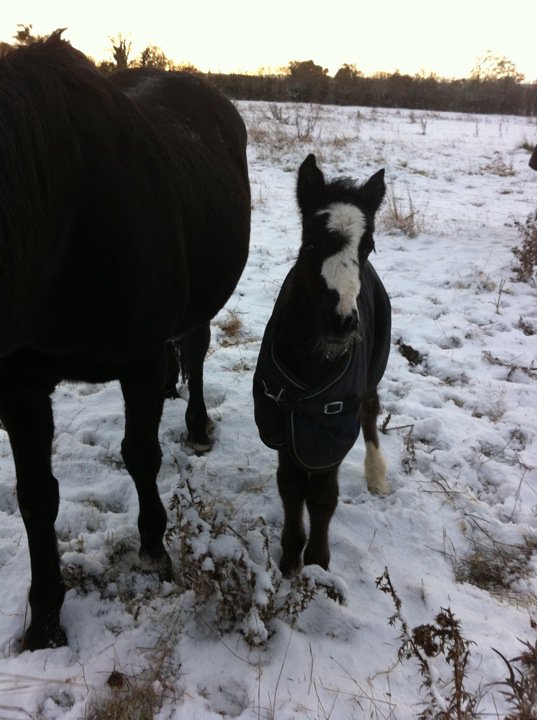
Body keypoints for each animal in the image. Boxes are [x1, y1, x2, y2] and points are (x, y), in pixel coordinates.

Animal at [0, 35, 250, 652]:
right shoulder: (19, 387)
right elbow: (36, 497)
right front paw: (44, 622)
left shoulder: (136, 361)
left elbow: (141, 454)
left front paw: (154, 549)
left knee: (195, 349)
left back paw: (196, 423)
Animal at [251, 155, 390, 576]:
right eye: (310, 241)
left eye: (368, 246)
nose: (341, 321)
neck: (314, 361)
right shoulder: (283, 419)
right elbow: (291, 486)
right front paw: (289, 557)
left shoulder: (333, 425)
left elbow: (323, 495)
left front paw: (316, 563)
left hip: (374, 367)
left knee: (370, 408)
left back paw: (377, 474)